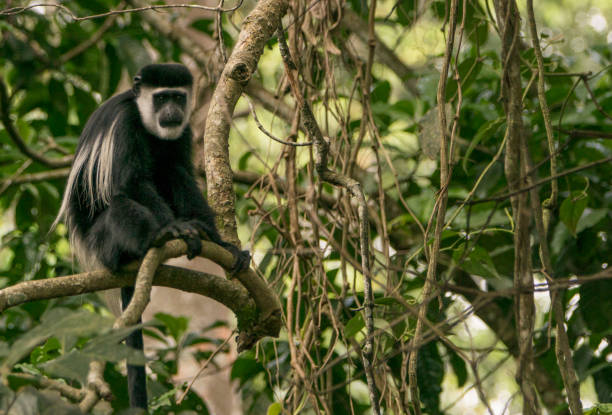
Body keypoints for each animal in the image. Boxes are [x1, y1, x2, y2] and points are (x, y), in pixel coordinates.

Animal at [53, 63, 250, 412]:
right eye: (160, 98)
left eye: (177, 97)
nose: (171, 111)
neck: (146, 120)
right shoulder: (125, 125)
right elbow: (132, 181)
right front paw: (174, 229)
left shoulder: (182, 132)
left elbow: (181, 171)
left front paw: (218, 240)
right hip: (103, 242)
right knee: (120, 204)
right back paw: (159, 236)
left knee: (172, 171)